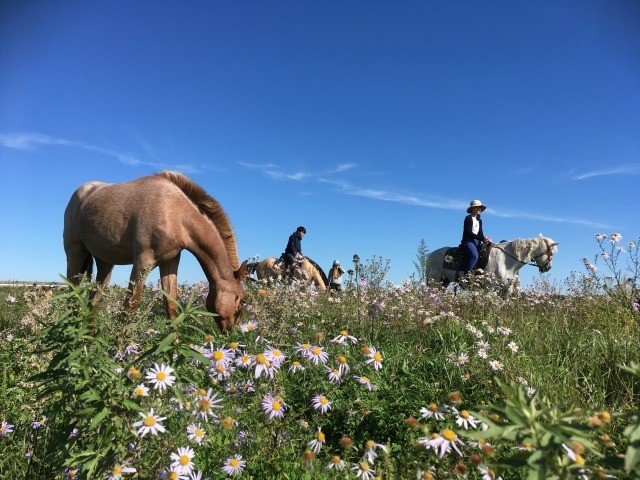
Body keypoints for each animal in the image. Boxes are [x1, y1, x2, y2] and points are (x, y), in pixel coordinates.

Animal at [63, 171, 248, 332]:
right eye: (241, 300)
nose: (232, 332)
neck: (175, 213)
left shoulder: (169, 262)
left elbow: (171, 307)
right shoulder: (143, 263)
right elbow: (130, 308)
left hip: (105, 263)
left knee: (94, 300)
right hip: (75, 254)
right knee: (73, 294)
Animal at [428, 235, 556, 298]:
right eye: (552, 253)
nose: (548, 268)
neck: (506, 260)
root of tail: (430, 255)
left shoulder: (507, 289)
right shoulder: (491, 287)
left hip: (444, 281)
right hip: (434, 280)